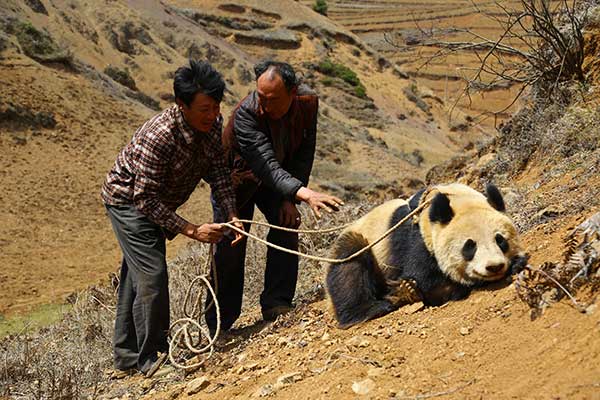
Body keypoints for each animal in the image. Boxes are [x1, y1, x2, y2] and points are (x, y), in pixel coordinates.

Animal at [326, 184, 528, 328]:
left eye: (500, 240)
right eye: (470, 246)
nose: (494, 267)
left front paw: (517, 263)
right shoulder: (418, 240)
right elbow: (427, 282)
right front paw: (409, 289)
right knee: (349, 263)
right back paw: (371, 309)